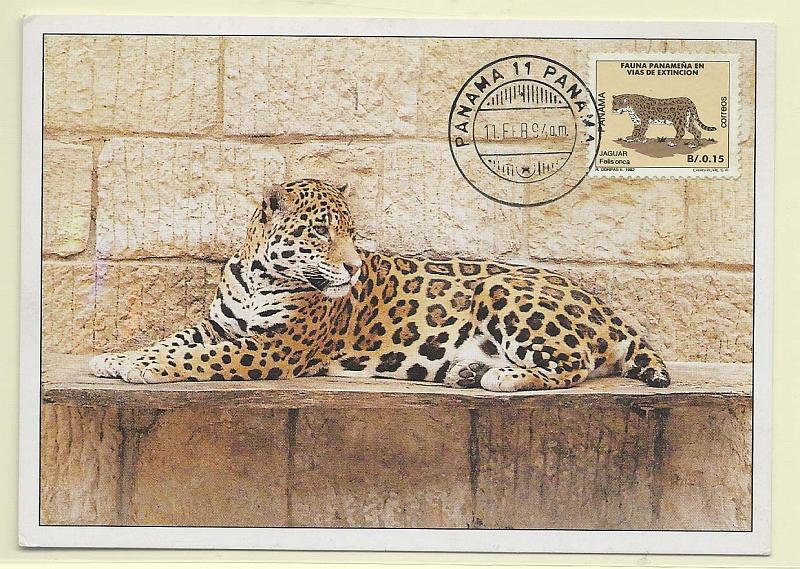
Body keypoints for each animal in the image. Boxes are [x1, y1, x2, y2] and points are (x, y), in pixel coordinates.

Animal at [90, 179, 671, 392]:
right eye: (321, 233)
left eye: (351, 233)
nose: (350, 270)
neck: (260, 274)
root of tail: (605, 306)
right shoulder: (219, 326)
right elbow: (173, 340)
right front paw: (115, 358)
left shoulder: (270, 349)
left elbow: (194, 359)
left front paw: (142, 369)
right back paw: (468, 371)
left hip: (506, 293)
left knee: (574, 365)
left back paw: (502, 378)